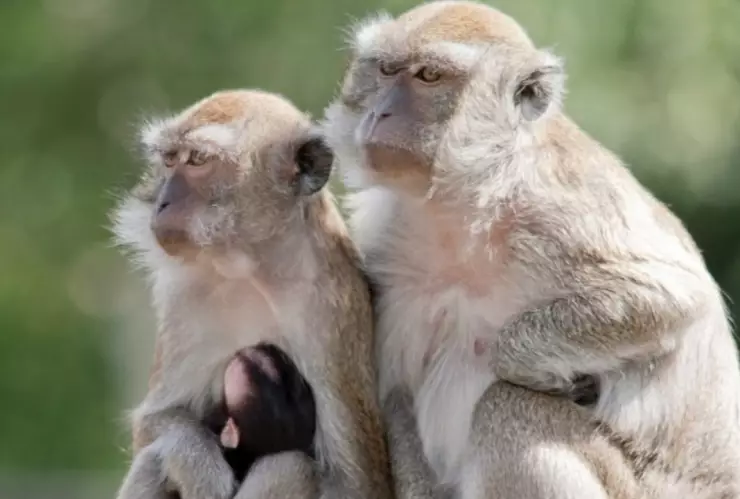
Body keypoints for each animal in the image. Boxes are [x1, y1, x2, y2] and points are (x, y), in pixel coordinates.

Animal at [110, 89, 393, 499]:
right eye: (169, 159)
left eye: (198, 160)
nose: (162, 201)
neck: (252, 269)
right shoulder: (184, 296)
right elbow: (153, 424)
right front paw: (197, 464)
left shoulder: (331, 312)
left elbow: (354, 484)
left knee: (289, 466)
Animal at [322, 1, 740, 498]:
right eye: (386, 70)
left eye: (429, 76)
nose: (380, 114)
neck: (465, 206)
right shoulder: (386, 244)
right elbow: (394, 398)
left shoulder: (561, 210)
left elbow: (671, 297)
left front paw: (530, 366)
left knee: (508, 409)